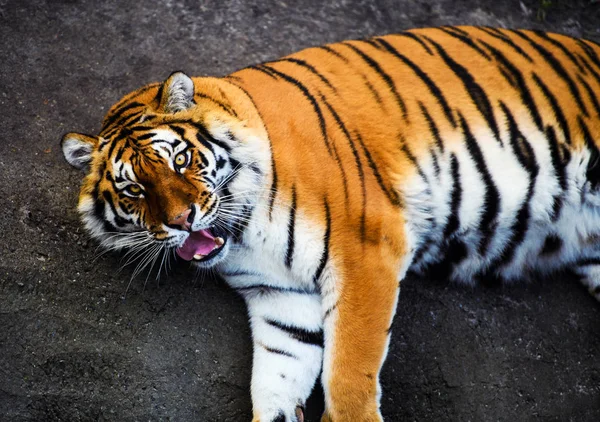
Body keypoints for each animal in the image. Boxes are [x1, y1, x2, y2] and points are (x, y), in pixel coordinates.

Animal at [61, 25, 600, 422]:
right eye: (135, 190)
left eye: (179, 161)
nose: (181, 220)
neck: (244, 234)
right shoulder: (280, 298)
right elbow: (275, 382)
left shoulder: (366, 253)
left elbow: (348, 372)